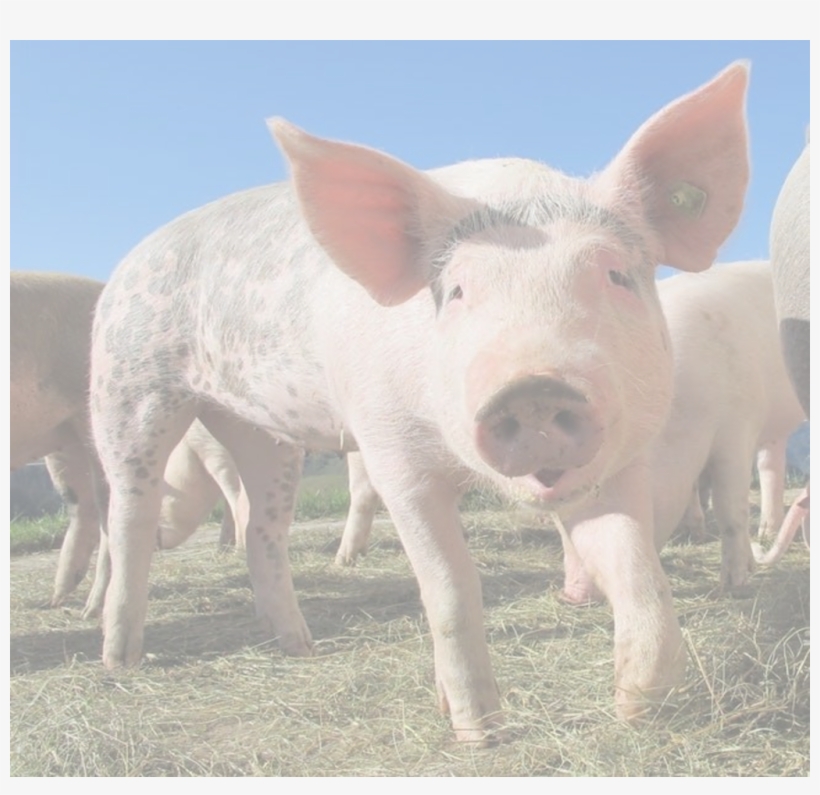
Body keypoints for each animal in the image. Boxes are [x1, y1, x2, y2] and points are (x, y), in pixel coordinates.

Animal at [89, 63, 749, 742]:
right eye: (456, 290)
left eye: (616, 275)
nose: (534, 388)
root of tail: (129, 262)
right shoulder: (391, 456)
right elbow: (452, 589)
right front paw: (480, 733)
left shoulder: (620, 461)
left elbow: (637, 568)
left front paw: (641, 709)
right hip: (127, 381)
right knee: (131, 515)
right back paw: (120, 659)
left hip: (261, 430)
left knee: (262, 527)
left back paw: (300, 647)